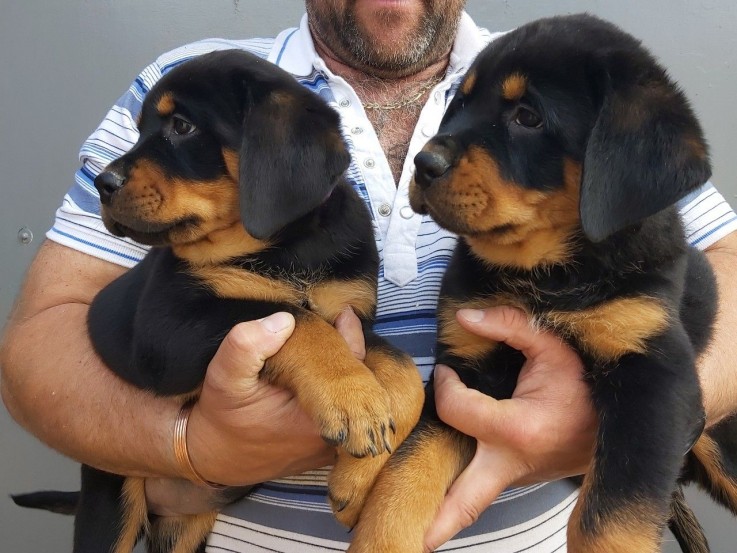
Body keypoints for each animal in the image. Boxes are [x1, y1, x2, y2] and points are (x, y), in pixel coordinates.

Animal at [14, 49, 422, 552]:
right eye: (140, 129)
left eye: (182, 126)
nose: (102, 184)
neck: (283, 246)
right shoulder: (167, 330)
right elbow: (293, 317)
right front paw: (353, 396)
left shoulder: (354, 316)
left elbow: (405, 371)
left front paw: (357, 478)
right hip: (111, 497)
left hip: (184, 529)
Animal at [348, 11, 736, 552]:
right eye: (460, 103)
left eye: (528, 118)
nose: (424, 165)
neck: (547, 276)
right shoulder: (465, 368)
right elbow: (406, 470)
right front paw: (383, 535)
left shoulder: (653, 372)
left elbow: (611, 516)